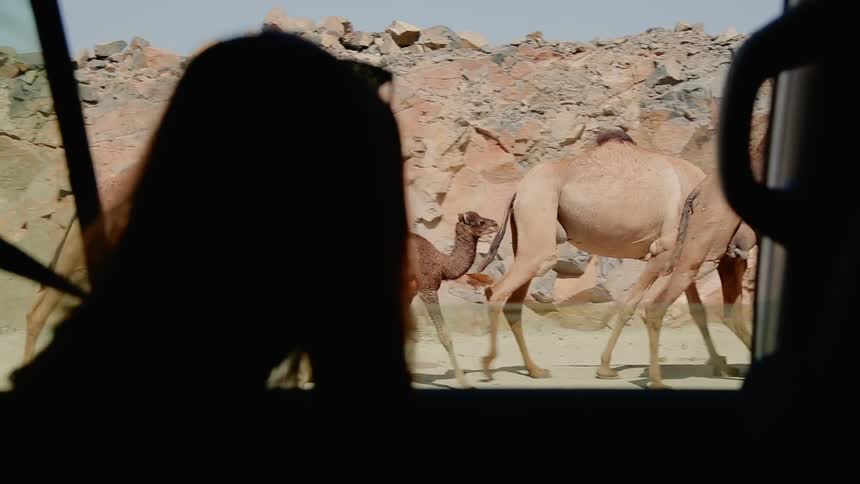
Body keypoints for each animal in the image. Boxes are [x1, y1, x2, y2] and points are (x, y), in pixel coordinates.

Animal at [406, 211, 499, 388]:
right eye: (481, 222)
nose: (496, 224)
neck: (443, 264)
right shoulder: (428, 289)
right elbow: (445, 336)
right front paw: (464, 382)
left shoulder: (410, 293)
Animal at [476, 130, 758, 386]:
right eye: (740, 266)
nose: (741, 257)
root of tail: (517, 191)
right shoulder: (665, 249)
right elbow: (630, 303)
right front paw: (606, 368)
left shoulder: (685, 255)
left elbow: (696, 311)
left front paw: (723, 365)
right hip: (539, 225)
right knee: (498, 291)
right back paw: (488, 365)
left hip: (526, 237)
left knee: (513, 300)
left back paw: (535, 370)